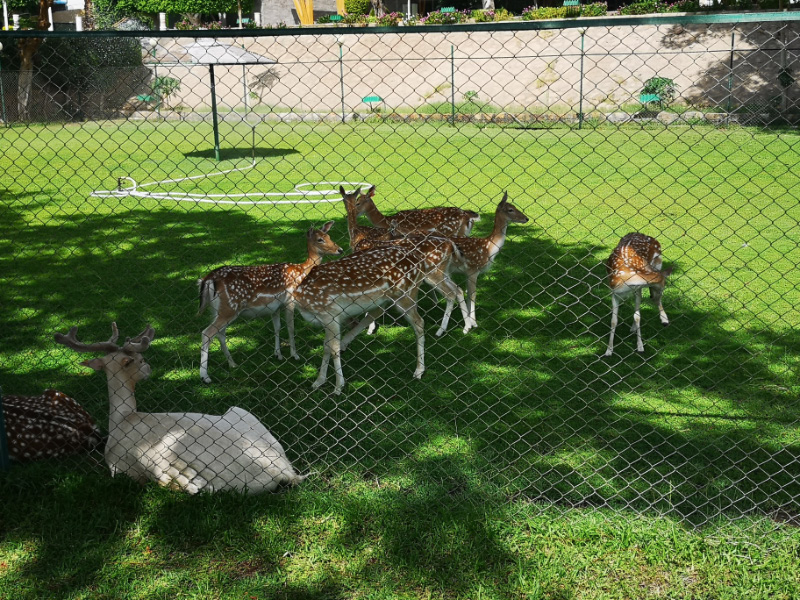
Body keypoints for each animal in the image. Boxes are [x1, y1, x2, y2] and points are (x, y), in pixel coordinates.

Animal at [54, 323, 305, 494]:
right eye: (140, 360)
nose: (149, 368)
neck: (122, 419)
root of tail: (283, 472)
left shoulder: (118, 468)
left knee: (192, 486)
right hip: (242, 412)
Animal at [198, 222, 343, 384]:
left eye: (329, 236)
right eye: (320, 239)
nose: (340, 249)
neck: (300, 273)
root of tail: (208, 279)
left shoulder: (275, 306)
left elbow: (277, 327)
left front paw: (278, 354)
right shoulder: (290, 299)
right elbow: (290, 327)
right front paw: (294, 355)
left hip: (218, 309)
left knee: (220, 334)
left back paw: (232, 363)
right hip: (229, 308)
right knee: (207, 333)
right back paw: (205, 376)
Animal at [293, 244, 430, 395]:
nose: (339, 250)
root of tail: (421, 261)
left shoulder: (329, 313)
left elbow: (332, 349)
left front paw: (338, 387)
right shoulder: (327, 320)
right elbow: (326, 347)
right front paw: (318, 381)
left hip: (405, 294)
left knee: (419, 323)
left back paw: (419, 371)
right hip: (385, 298)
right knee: (377, 312)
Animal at [448, 192, 530, 332]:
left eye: (515, 206)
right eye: (510, 209)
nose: (526, 218)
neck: (488, 248)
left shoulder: (468, 272)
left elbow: (469, 293)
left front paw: (471, 321)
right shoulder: (473, 269)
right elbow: (473, 295)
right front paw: (474, 323)